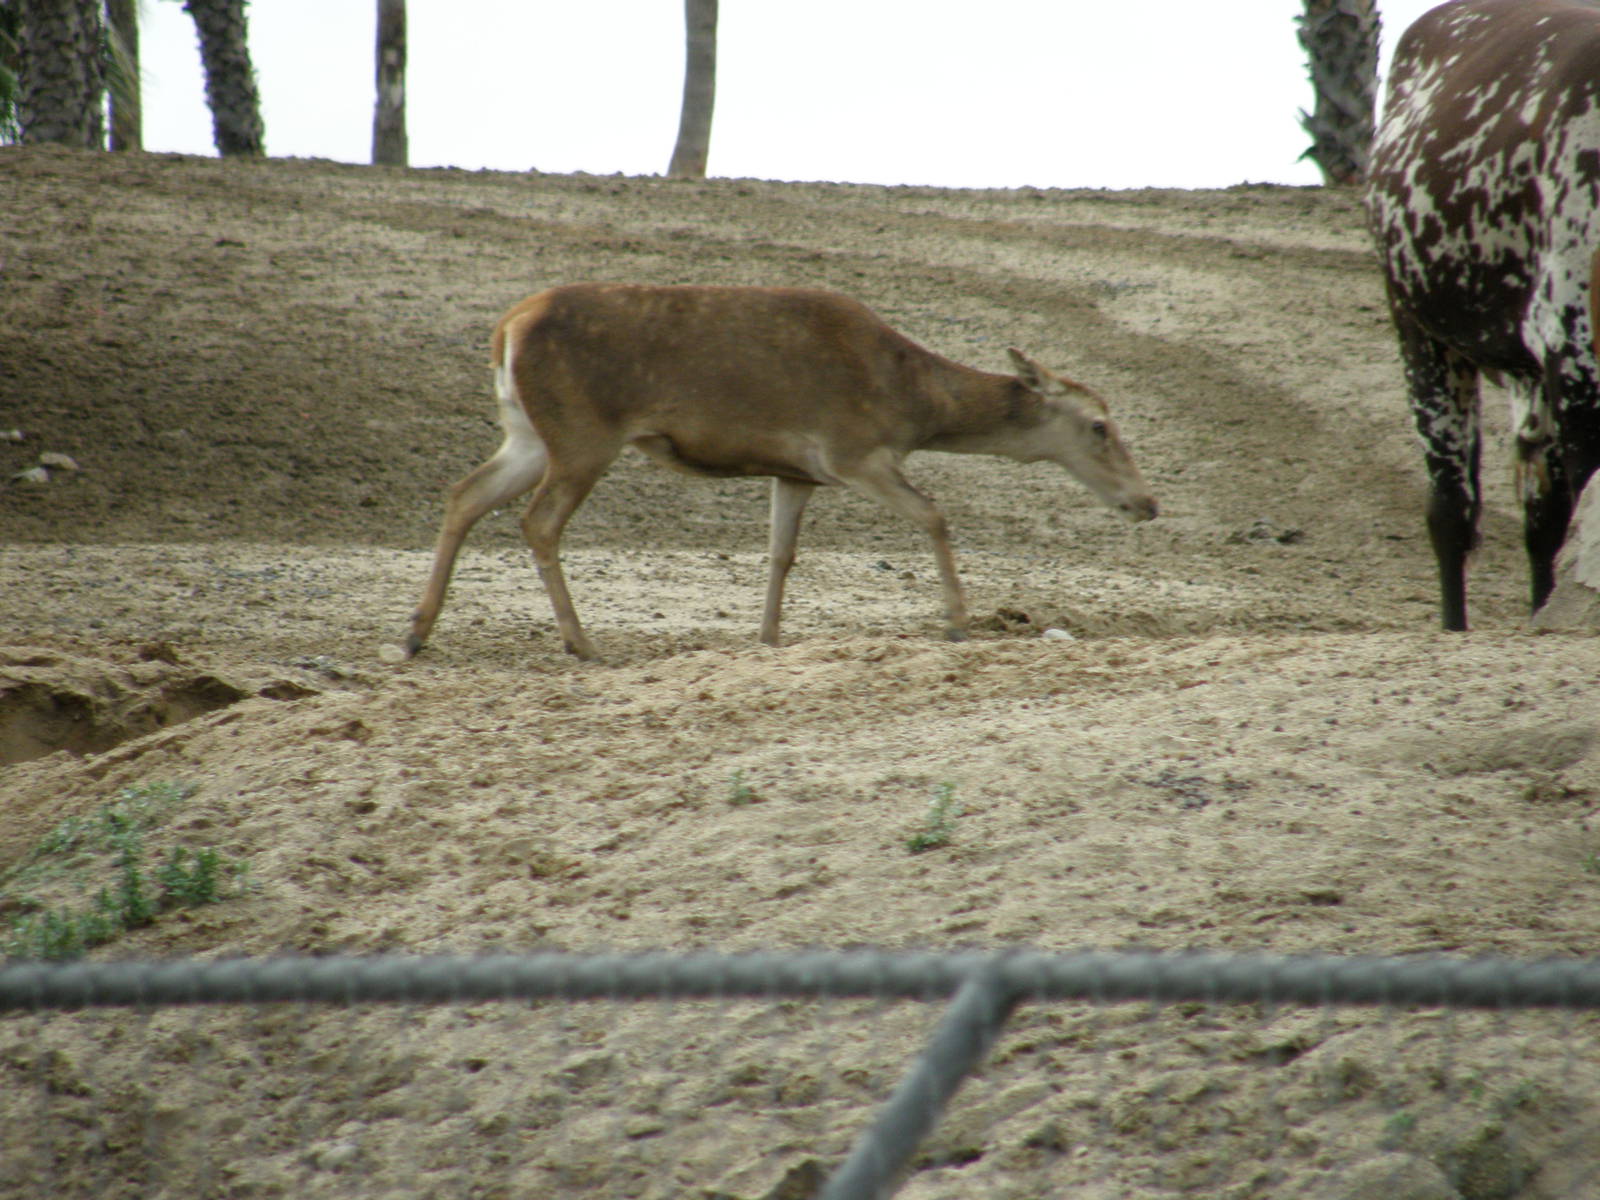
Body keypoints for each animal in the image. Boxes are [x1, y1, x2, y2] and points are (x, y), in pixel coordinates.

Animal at [399, 283, 1158, 661]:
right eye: (1100, 425)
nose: (1148, 502)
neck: (914, 404)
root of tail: (506, 328)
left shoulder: (796, 471)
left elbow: (780, 554)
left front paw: (766, 639)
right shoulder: (852, 451)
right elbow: (934, 514)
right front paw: (956, 623)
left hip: (528, 433)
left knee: (464, 494)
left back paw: (417, 631)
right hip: (584, 434)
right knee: (538, 520)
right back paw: (581, 642)